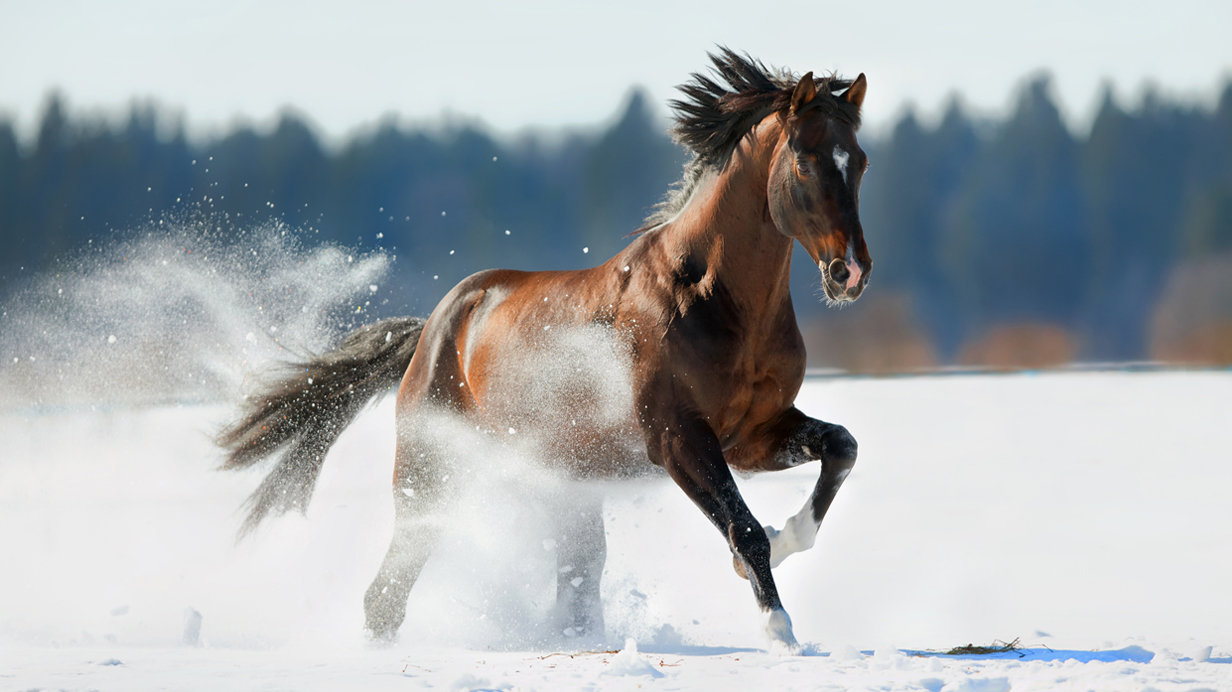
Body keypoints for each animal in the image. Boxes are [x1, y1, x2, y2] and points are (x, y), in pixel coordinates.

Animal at [221, 49, 877, 650]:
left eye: (861, 161)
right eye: (805, 160)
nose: (850, 273)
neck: (709, 296)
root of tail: (434, 327)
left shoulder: (753, 434)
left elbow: (841, 447)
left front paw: (788, 540)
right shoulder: (678, 440)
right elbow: (744, 529)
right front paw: (779, 631)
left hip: (567, 485)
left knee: (573, 584)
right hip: (431, 474)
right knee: (388, 591)